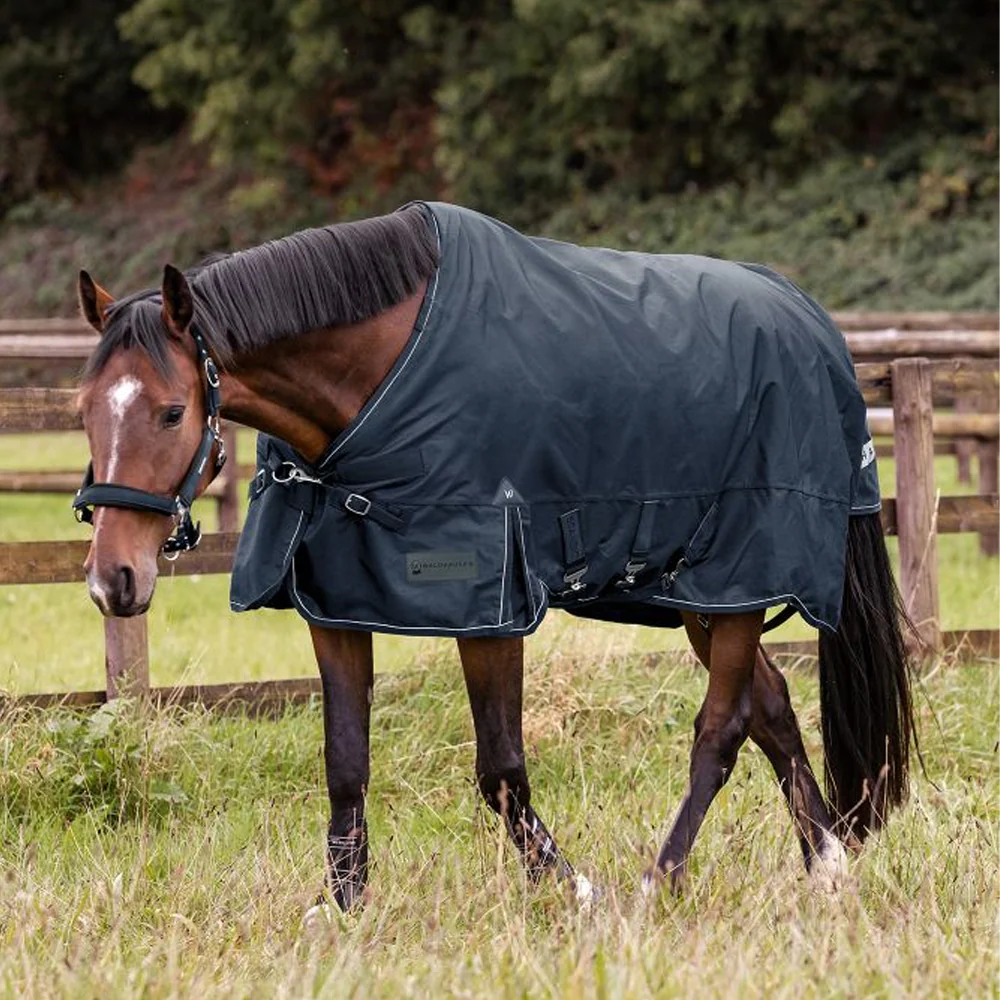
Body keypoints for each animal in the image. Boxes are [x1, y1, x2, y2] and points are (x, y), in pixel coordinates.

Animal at [72, 201, 915, 913]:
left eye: (171, 412)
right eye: (83, 410)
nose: (114, 581)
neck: (383, 381)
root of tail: (813, 324)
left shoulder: (491, 607)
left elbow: (501, 769)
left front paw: (570, 890)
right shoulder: (337, 602)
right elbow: (345, 761)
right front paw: (343, 906)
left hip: (738, 575)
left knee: (723, 728)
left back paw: (658, 883)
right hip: (702, 595)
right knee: (770, 705)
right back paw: (826, 869)